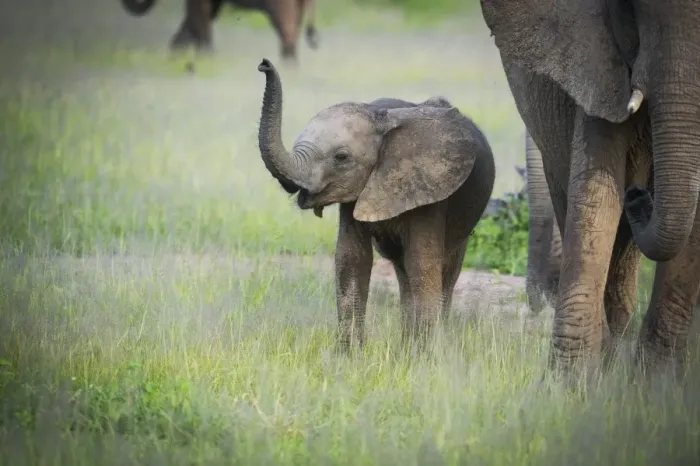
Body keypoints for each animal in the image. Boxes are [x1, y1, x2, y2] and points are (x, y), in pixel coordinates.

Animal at [256, 58, 496, 350]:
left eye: (341, 157)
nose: (264, 64)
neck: (382, 119)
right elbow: (351, 259)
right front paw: (350, 355)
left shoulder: (431, 190)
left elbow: (423, 262)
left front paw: (423, 357)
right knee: (403, 270)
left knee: (446, 269)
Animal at [481, 0, 700, 375]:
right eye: (631, 8)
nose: (638, 195)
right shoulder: (595, 64)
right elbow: (595, 195)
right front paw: (569, 383)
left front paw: (657, 381)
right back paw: (611, 354)